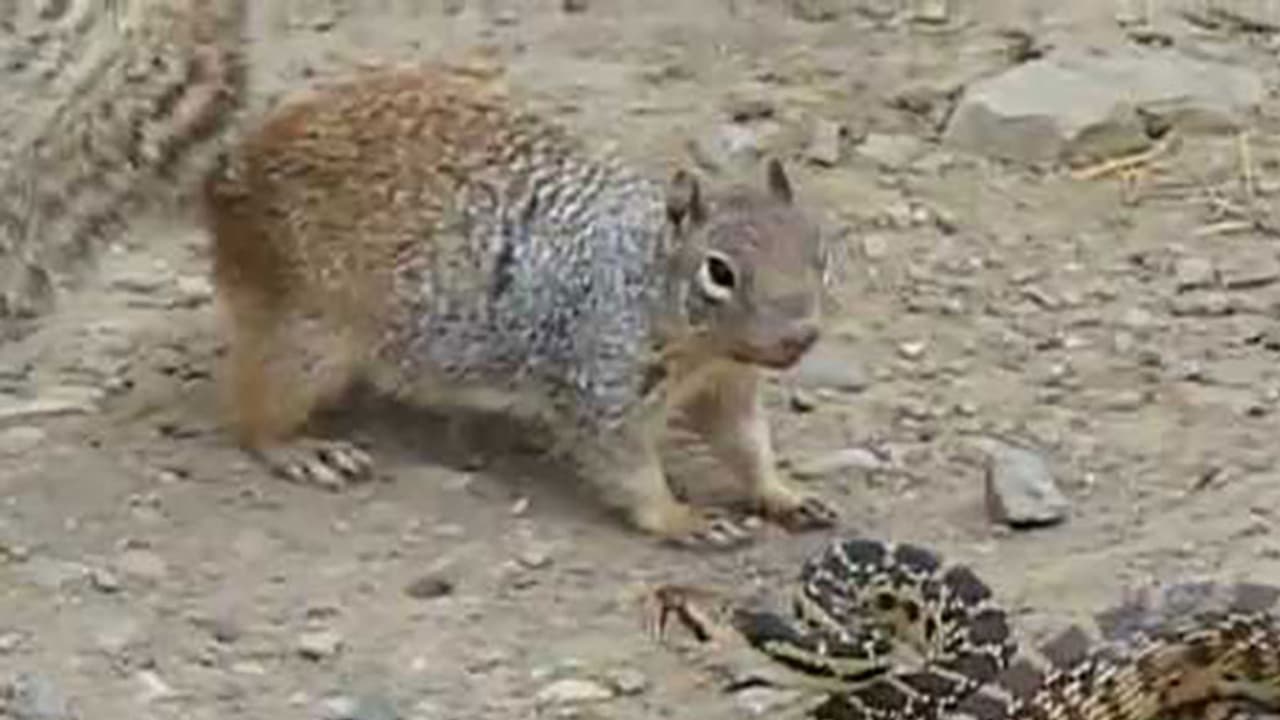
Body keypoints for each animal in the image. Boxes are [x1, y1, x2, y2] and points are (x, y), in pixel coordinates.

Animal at [203, 62, 839, 549]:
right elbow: (626, 463)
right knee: (254, 405)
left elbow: (745, 443)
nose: (801, 335)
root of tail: (232, 180)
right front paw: (683, 518)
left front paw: (784, 493)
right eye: (719, 272)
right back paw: (300, 449)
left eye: (820, 249)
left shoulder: (727, 383)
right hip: (307, 335)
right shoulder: (599, 378)